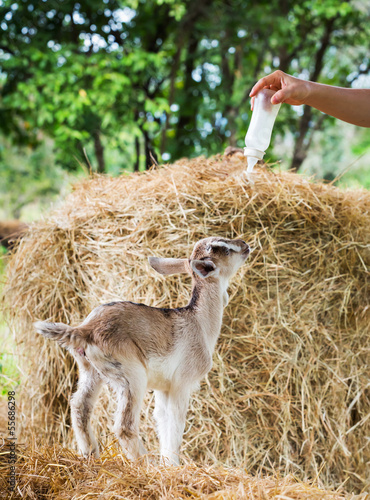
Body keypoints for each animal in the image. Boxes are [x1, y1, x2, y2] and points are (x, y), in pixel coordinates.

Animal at [34, 237, 251, 464]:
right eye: (225, 250)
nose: (246, 245)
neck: (199, 322)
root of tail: (85, 329)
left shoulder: (164, 387)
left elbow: (162, 419)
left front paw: (167, 463)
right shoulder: (181, 383)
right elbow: (176, 422)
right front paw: (173, 465)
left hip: (91, 371)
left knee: (79, 407)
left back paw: (91, 455)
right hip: (131, 375)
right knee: (124, 425)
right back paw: (146, 464)